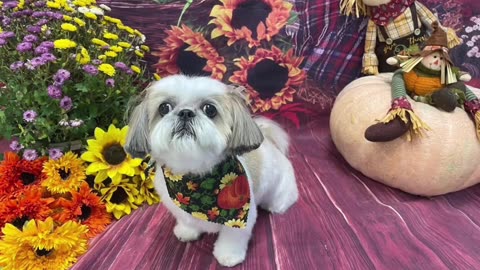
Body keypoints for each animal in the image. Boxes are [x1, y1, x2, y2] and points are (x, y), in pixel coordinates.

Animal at [124, 75, 296, 266]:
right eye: (164, 107)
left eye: (209, 109)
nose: (185, 112)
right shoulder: (178, 206)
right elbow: (186, 220)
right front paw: (187, 232)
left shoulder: (242, 217)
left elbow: (233, 237)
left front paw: (228, 255)